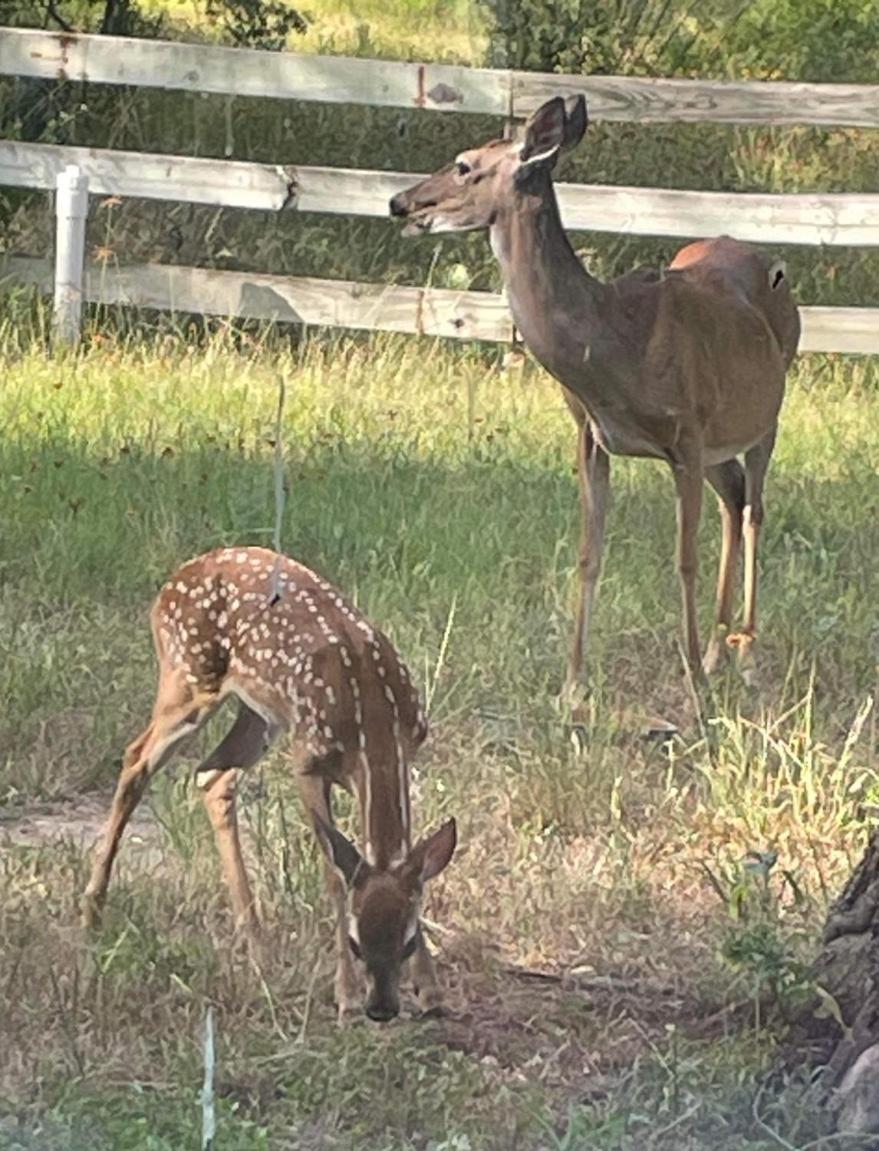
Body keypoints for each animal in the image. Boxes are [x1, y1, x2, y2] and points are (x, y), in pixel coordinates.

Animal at [82, 547, 455, 1026]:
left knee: (213, 774)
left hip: (259, 712)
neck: (372, 721)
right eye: (356, 943)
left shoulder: (409, 749)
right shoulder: (307, 759)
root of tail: (172, 580)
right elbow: (334, 876)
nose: (382, 1009)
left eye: (406, 941)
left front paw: (431, 991)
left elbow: (411, 859)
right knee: (136, 758)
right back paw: (91, 914)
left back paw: (257, 945)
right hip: (188, 678)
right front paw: (347, 996)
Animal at [388, 94, 800, 699]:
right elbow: (588, 555)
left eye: (464, 164)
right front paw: (573, 687)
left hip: (764, 414)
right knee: (734, 498)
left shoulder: (686, 434)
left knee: (754, 510)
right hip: (720, 442)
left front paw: (694, 683)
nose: (399, 201)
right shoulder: (592, 435)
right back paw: (721, 649)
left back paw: (743, 656)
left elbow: (684, 560)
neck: (613, 346)